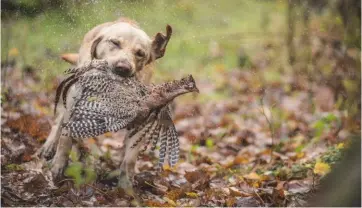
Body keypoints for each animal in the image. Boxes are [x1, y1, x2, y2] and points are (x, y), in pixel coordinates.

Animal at [35, 17, 173, 180]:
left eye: (140, 53)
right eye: (114, 43)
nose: (123, 68)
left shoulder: (141, 122)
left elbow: (130, 158)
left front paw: (126, 183)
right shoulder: (75, 103)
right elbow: (65, 138)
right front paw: (59, 165)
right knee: (60, 120)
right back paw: (51, 146)